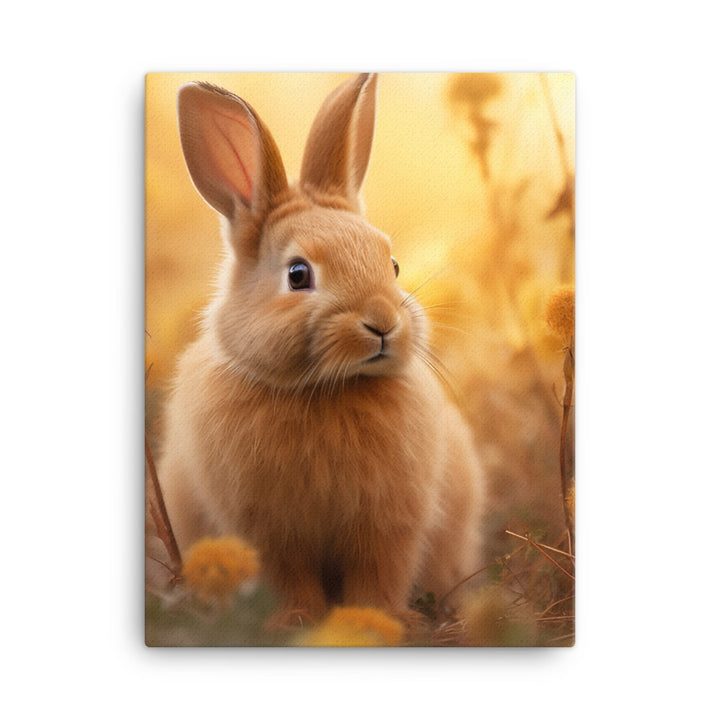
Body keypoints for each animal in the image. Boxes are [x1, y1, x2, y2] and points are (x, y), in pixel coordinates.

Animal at [158, 73, 484, 624]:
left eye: (392, 264)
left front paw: (373, 620)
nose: (382, 324)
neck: (329, 390)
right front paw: (298, 621)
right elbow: (289, 578)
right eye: (297, 275)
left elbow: (380, 572)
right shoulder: (267, 530)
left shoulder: (389, 522)